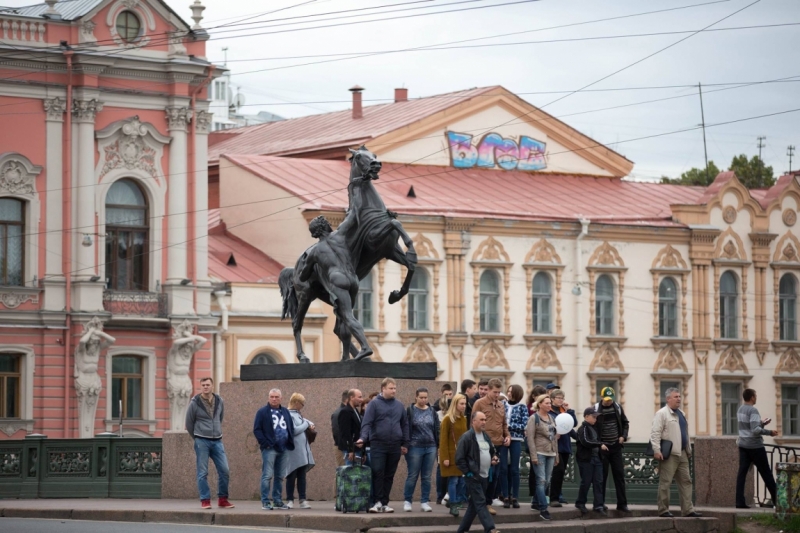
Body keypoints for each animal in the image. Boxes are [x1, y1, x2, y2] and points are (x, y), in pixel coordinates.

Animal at [280, 145, 418, 362]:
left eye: (374, 155)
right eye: (360, 156)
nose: (376, 164)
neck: (369, 209)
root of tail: (293, 268)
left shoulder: (390, 250)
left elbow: (411, 265)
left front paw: (396, 294)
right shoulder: (376, 239)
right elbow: (395, 222)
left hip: (328, 295)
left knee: (342, 326)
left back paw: (356, 357)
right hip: (306, 295)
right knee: (298, 323)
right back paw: (304, 356)